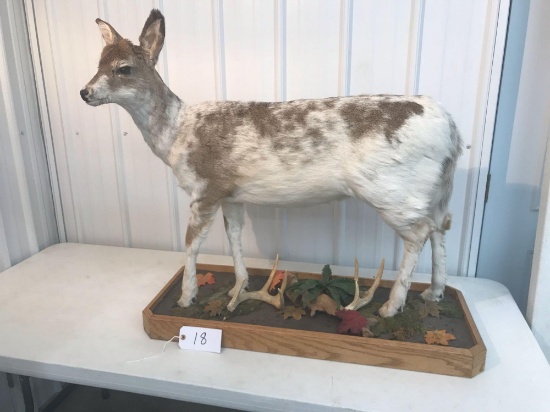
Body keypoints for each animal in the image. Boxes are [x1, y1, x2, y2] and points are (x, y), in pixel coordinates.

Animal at [81, 10, 462, 318]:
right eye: (98, 63)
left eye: (124, 69)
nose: (85, 92)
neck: (177, 133)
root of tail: (452, 129)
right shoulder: (231, 194)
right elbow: (234, 236)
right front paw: (240, 286)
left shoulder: (206, 186)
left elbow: (191, 243)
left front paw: (186, 297)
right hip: (435, 190)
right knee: (440, 225)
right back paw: (433, 293)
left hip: (389, 188)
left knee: (418, 234)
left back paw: (391, 307)